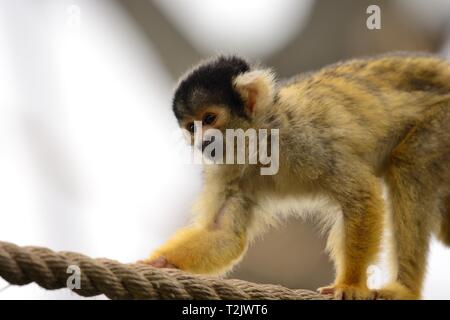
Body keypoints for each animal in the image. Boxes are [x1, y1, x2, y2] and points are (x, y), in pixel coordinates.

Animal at [143, 53, 450, 300]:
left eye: (209, 119)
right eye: (191, 127)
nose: (202, 142)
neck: (262, 142)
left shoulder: (307, 140)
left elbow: (361, 196)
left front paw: (350, 285)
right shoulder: (227, 170)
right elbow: (224, 234)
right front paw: (160, 263)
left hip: (443, 120)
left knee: (409, 162)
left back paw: (405, 289)